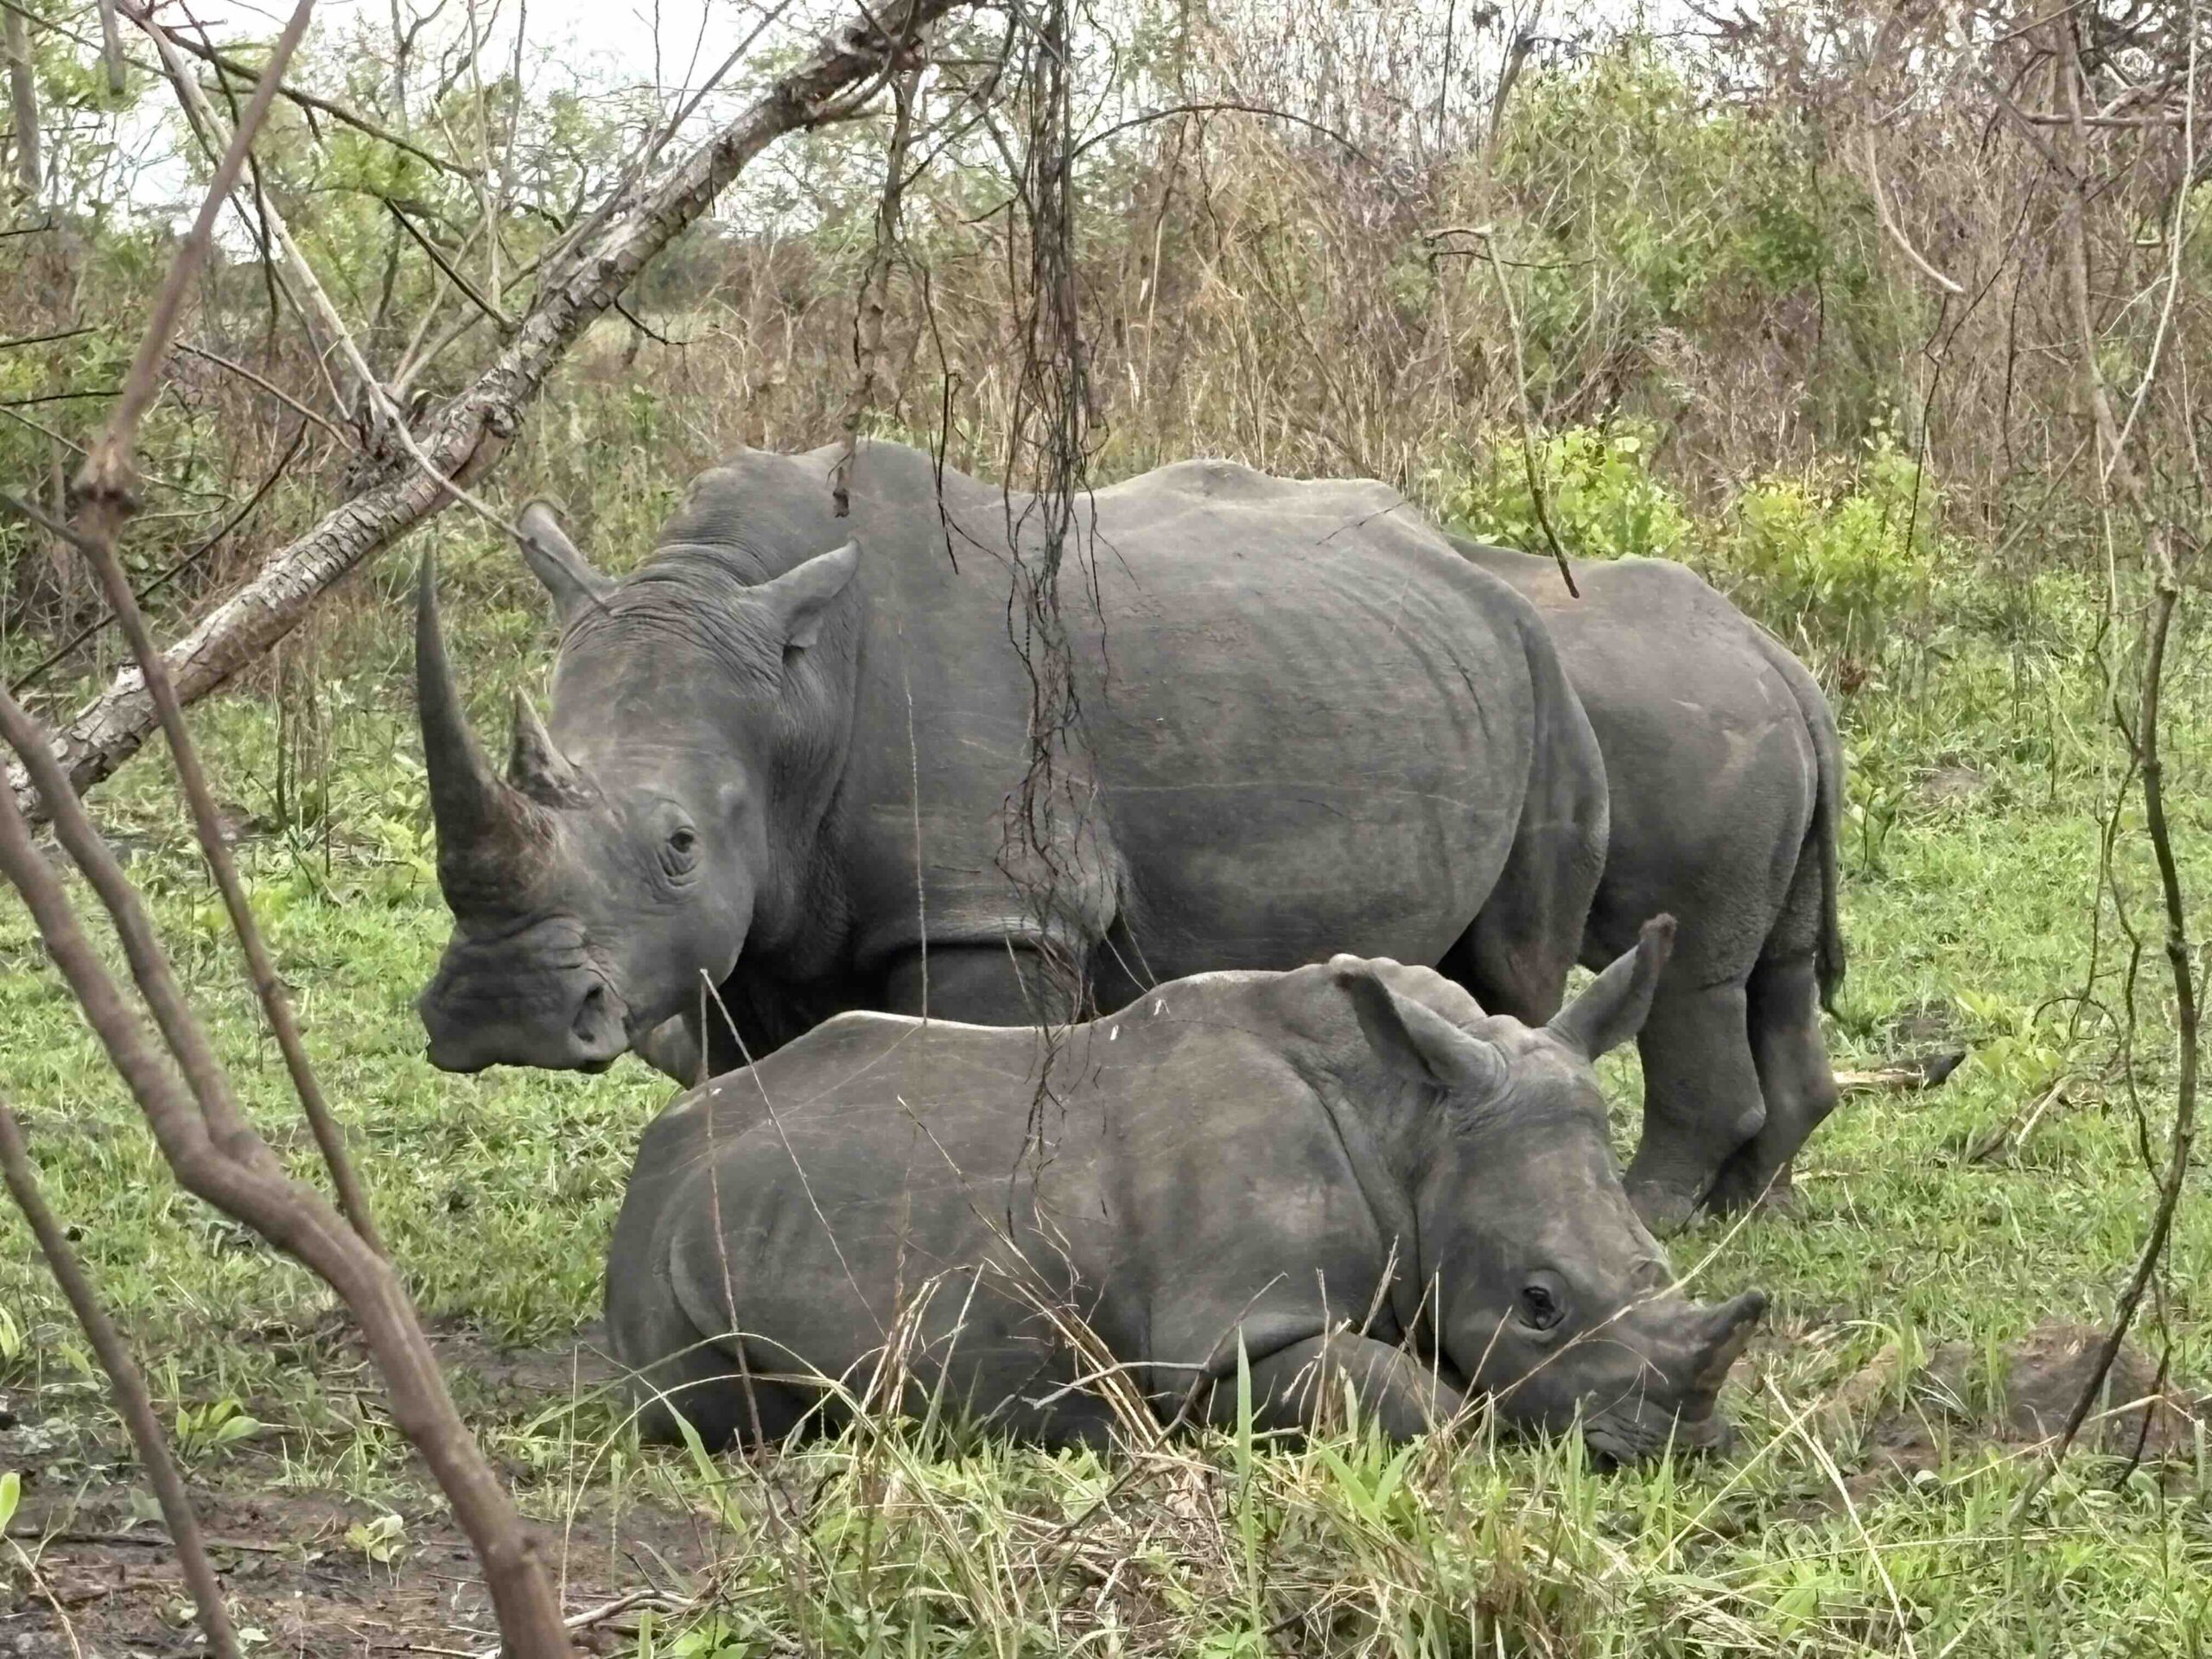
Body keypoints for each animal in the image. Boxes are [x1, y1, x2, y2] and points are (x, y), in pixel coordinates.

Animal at [415, 442, 1606, 1079]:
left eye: (678, 846)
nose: (499, 1010)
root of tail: (1469, 565)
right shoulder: (740, 937)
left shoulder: (994, 910)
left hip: (1548, 686)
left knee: (1516, 973)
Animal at [604, 916, 1768, 1457]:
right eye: (1537, 1305)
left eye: (1655, 1261)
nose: (1684, 1446)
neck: (1412, 1122)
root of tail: (657, 1157)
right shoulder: (1234, 1327)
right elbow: (1430, 1411)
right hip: (671, 1270)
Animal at [1443, 537, 1846, 1229]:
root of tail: (1782, 667)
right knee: (1782, 971)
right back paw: (1747, 1208)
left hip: (1699, 769)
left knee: (1685, 979)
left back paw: (1650, 1212)